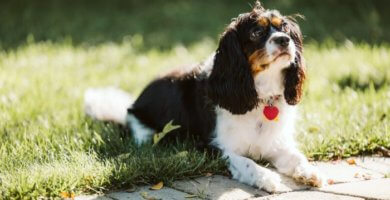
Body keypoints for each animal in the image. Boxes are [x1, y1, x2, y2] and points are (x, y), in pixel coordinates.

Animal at [84, 1, 326, 192]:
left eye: (284, 28)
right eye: (257, 32)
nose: (284, 40)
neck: (261, 95)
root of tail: (132, 104)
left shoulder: (276, 143)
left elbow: (296, 156)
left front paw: (309, 172)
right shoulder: (214, 147)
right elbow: (246, 162)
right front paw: (267, 177)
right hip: (146, 132)